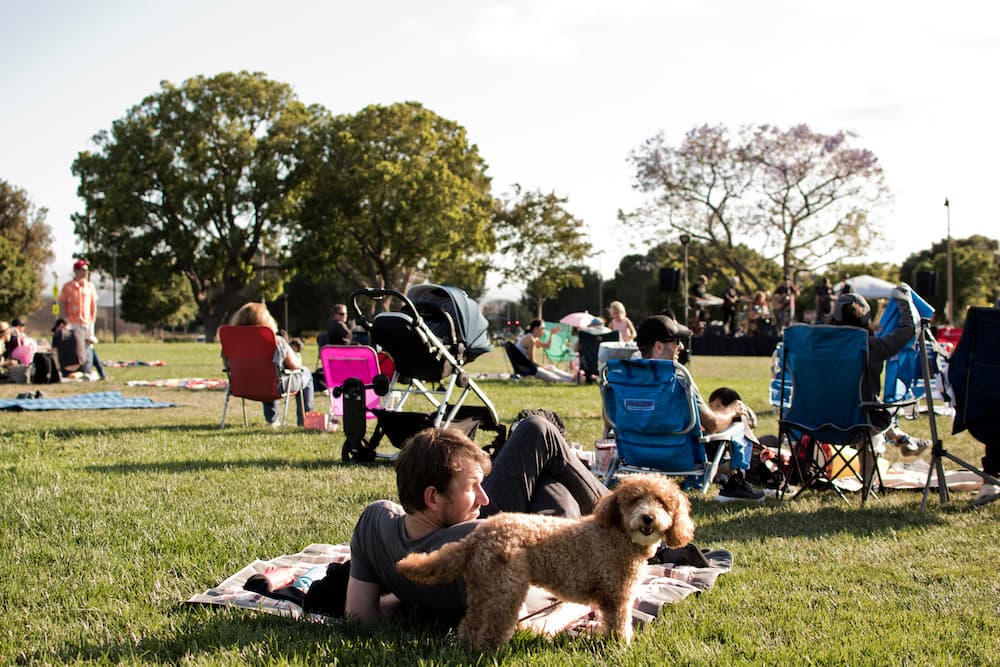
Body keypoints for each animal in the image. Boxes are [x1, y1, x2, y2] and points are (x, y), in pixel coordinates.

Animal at [394, 474, 692, 652]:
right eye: (634, 500)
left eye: (662, 503)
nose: (648, 518)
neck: (617, 534)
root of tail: (480, 534)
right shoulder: (617, 595)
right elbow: (619, 624)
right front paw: (622, 646)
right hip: (507, 590)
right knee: (493, 629)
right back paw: (491, 653)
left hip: (483, 588)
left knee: (470, 623)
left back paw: (468, 648)